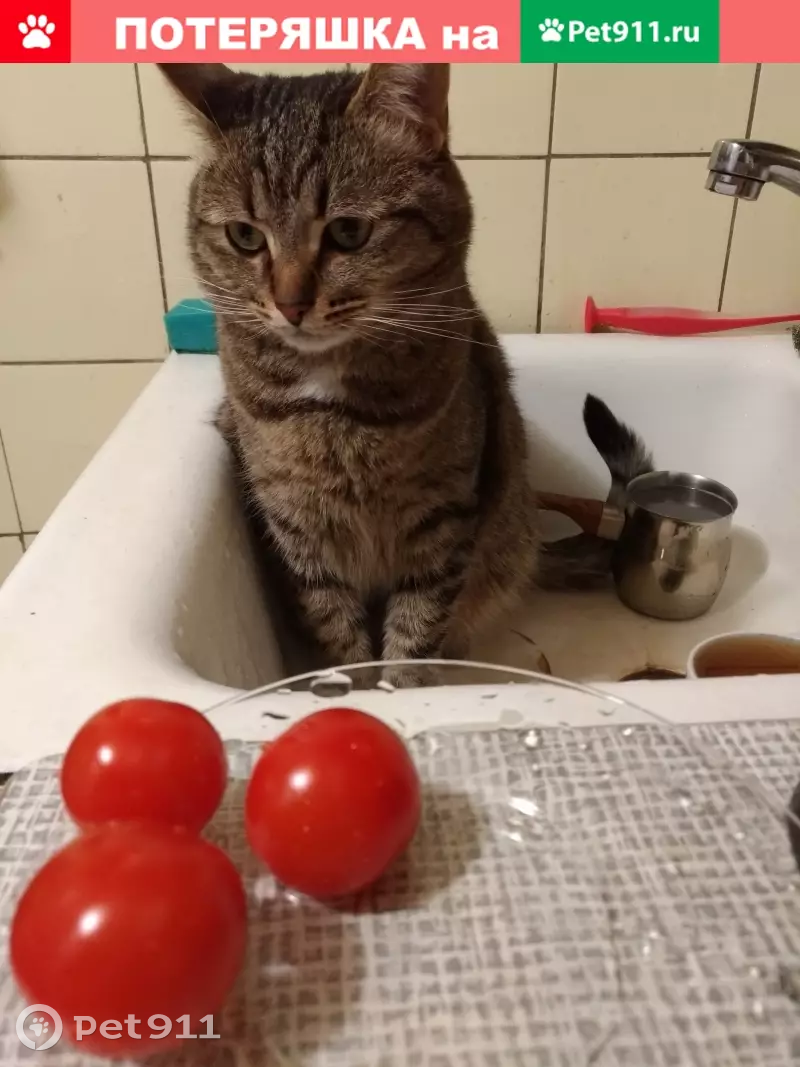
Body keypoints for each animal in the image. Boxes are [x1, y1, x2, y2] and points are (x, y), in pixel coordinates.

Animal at [159, 62, 652, 685]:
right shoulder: (295, 522)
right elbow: (334, 622)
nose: (290, 305)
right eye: (245, 236)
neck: (332, 409)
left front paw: (403, 688)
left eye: (348, 232)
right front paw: (351, 686)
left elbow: (419, 622)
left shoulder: (443, 515)